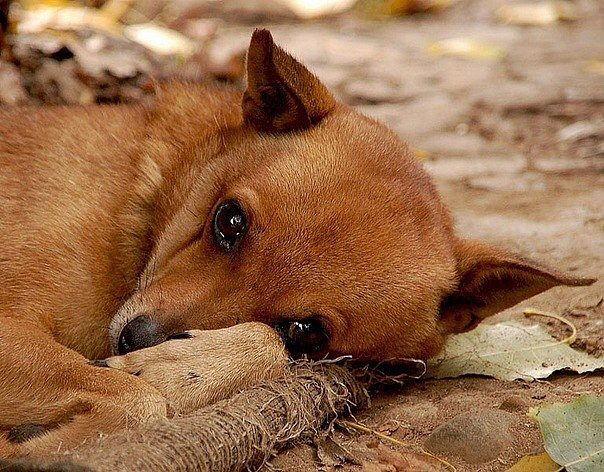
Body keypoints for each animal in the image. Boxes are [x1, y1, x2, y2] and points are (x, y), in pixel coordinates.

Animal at [0, 29, 596, 458]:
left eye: (305, 333)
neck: (145, 194)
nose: (133, 338)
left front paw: (182, 368)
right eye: (229, 221)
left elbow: (157, 392)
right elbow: (137, 402)